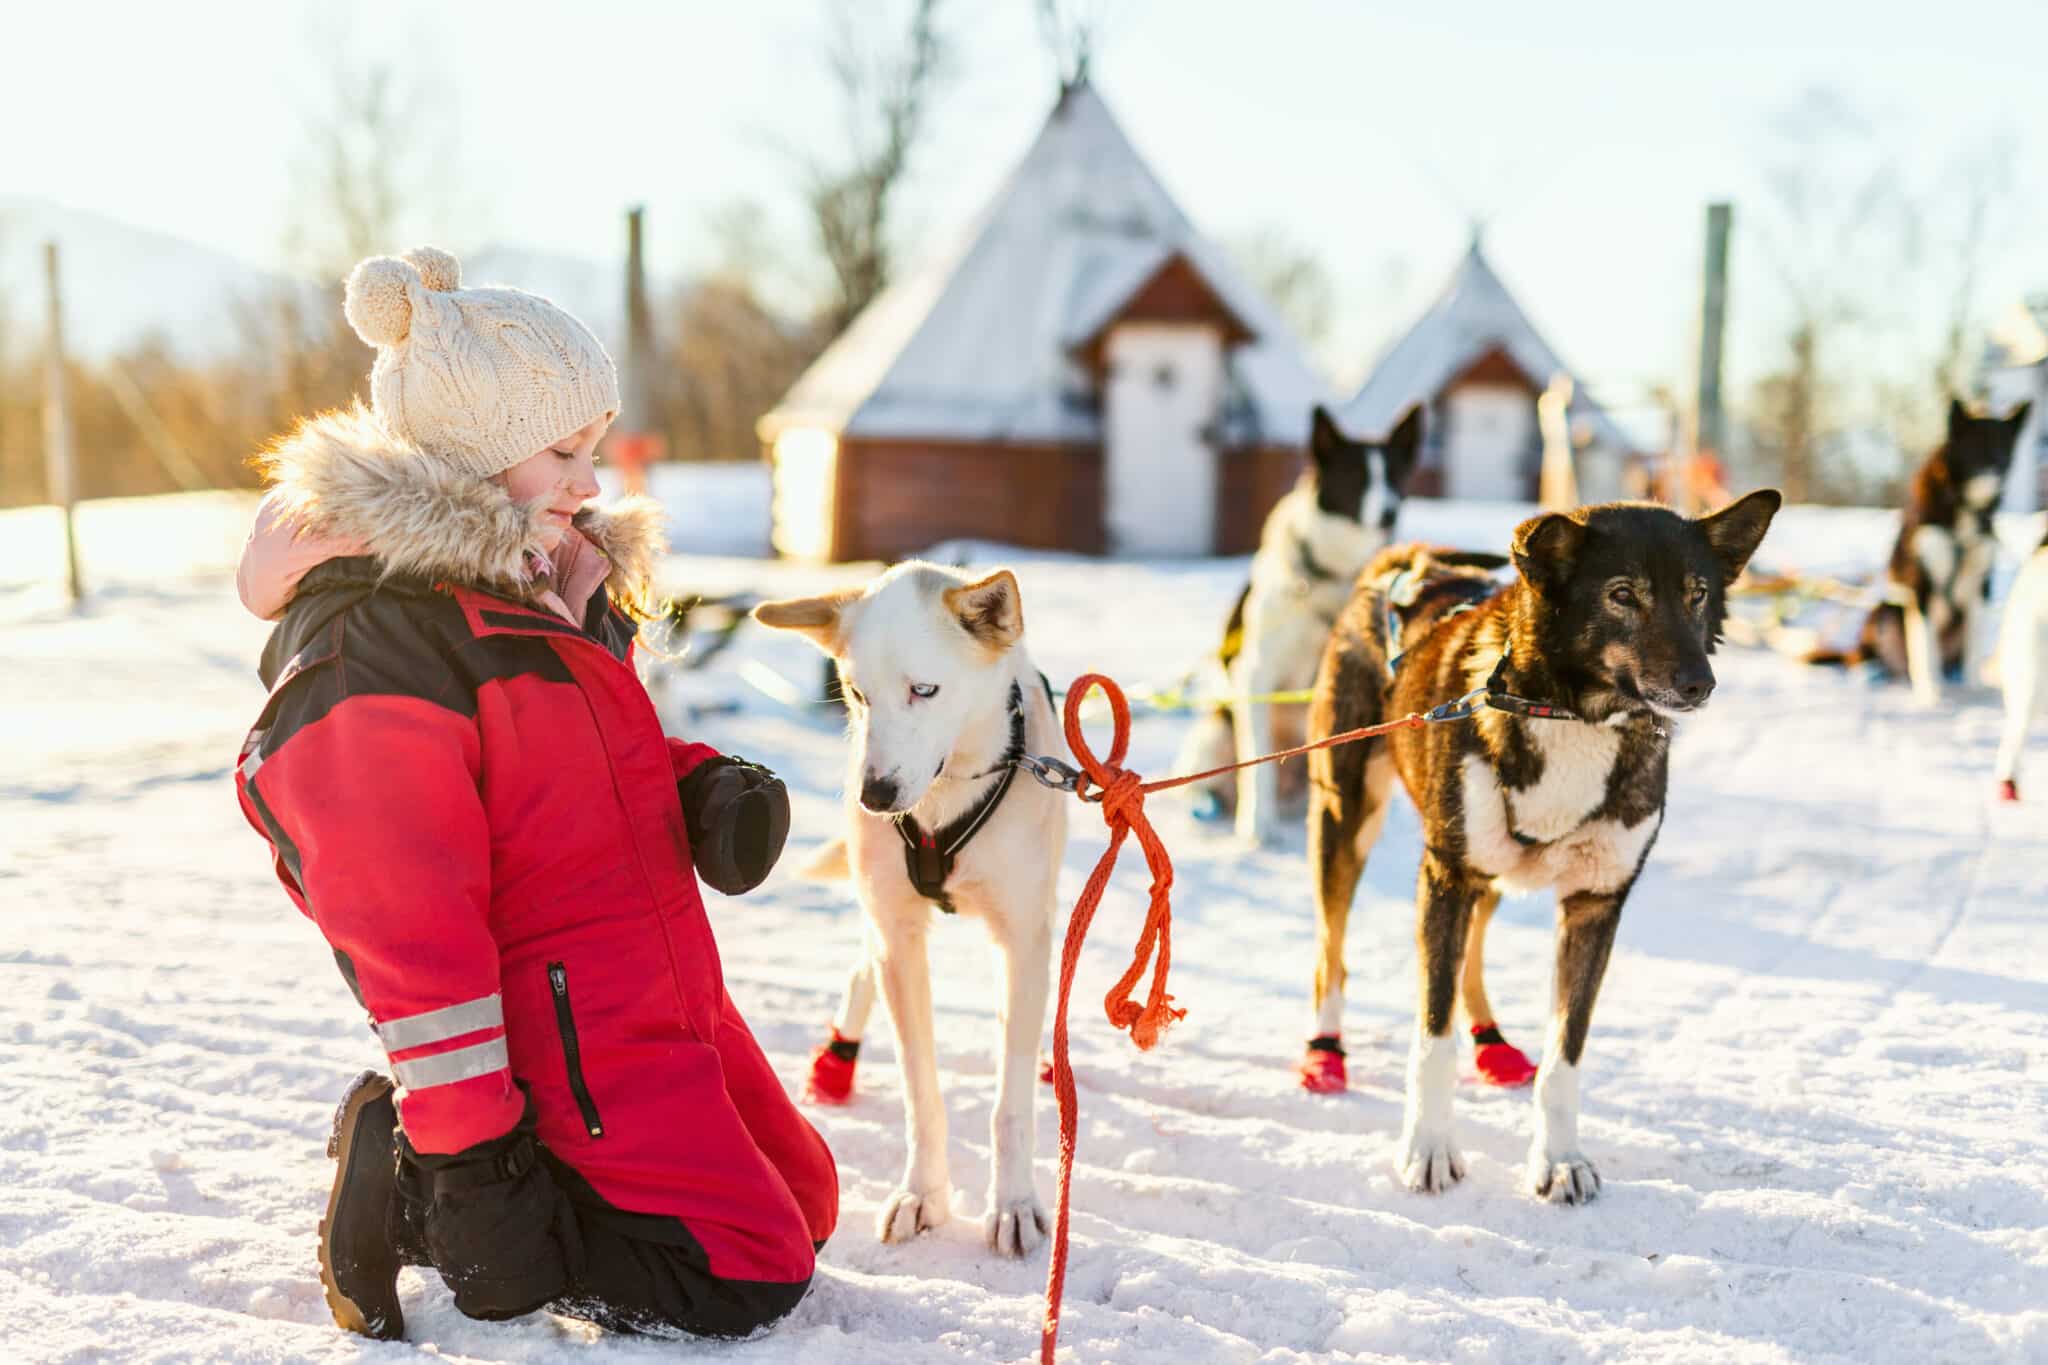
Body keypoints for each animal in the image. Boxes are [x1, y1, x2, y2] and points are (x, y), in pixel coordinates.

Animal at [757, 564, 1073, 1260]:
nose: (873, 795)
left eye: (924, 690)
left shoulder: (1021, 938)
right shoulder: (898, 936)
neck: (943, 795)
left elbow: (1009, 1105)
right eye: (857, 694)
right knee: (863, 970)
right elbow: (920, 1091)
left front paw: (1012, 1203)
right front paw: (922, 1194)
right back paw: (838, 1058)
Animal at [1310, 491, 1777, 1203]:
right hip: (1348, 820)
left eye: (1697, 593)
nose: (1700, 683)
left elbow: (1565, 1055)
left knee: (1471, 956)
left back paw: (1492, 1044)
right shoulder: (1445, 875)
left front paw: (1559, 1159)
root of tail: (1405, 561)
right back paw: (1325, 1051)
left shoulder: (1594, 903)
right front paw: (1429, 1148)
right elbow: (1433, 1037)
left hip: (1494, 875)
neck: (1571, 715)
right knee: (1332, 956)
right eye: (1622, 594)